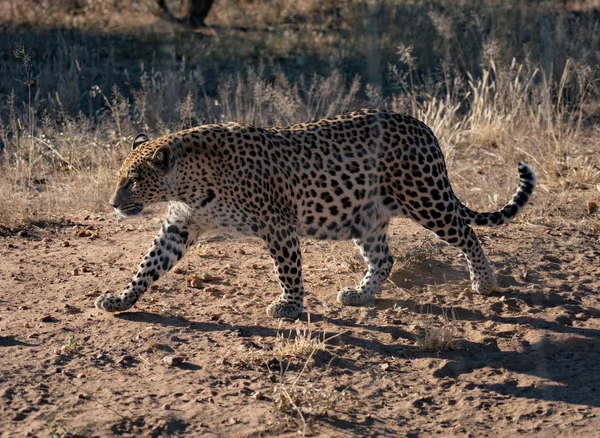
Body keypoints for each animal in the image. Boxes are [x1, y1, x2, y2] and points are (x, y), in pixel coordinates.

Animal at [94, 109, 536, 320]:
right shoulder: (179, 226)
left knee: (467, 233)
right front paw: (121, 299)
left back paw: (485, 283)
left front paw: (288, 306)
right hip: (367, 215)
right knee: (384, 258)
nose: (113, 203)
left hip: (427, 199)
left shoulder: (278, 224)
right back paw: (360, 294)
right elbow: (148, 265)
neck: (190, 181)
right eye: (121, 179)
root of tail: (423, 128)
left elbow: (287, 269)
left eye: (132, 180)